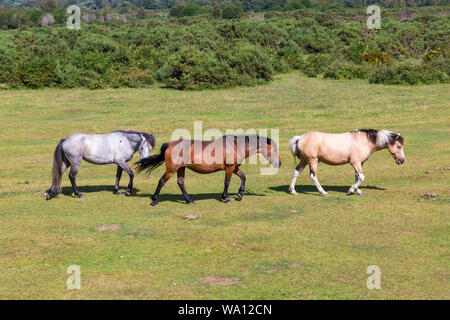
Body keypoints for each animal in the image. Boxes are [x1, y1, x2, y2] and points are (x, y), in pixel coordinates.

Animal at [137, 134, 280, 205]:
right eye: (273, 150)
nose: (279, 163)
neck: (234, 146)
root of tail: (170, 144)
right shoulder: (229, 168)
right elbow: (227, 182)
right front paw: (226, 198)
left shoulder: (234, 168)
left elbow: (243, 176)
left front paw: (240, 193)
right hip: (172, 169)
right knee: (162, 181)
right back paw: (155, 201)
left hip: (181, 168)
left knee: (181, 183)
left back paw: (189, 201)